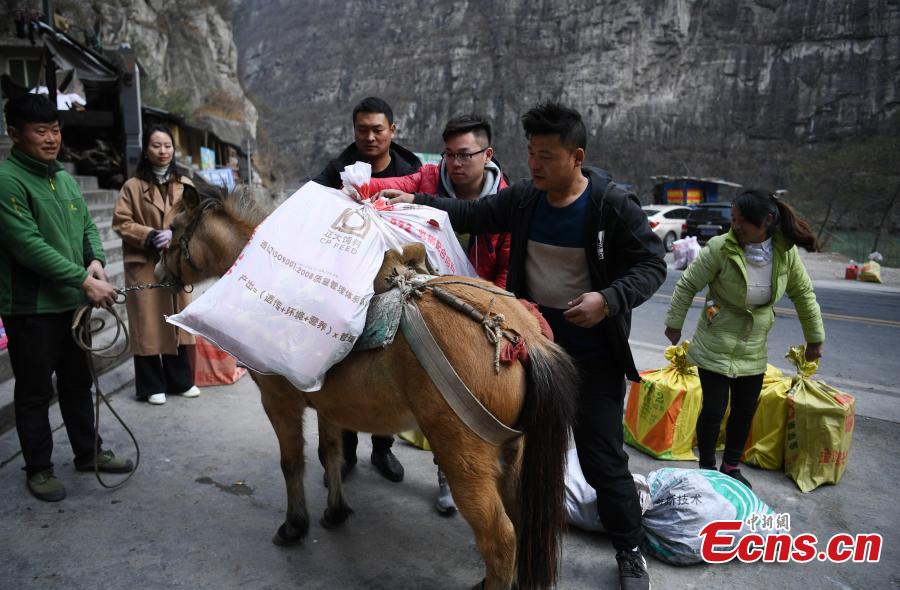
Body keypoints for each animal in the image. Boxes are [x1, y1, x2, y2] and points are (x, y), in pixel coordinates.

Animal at [156, 183, 576, 588]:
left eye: (174, 228)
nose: (160, 275)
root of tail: (521, 336)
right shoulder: (328, 406)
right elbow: (330, 454)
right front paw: (336, 511)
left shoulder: (278, 401)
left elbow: (292, 463)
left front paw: (294, 526)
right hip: (514, 450)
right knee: (520, 516)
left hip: (465, 457)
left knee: (499, 539)